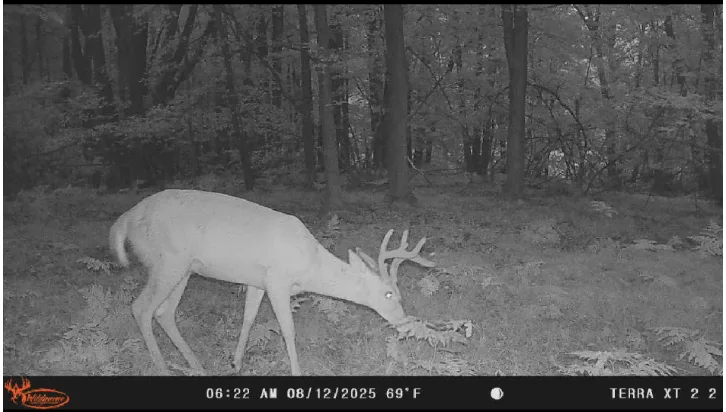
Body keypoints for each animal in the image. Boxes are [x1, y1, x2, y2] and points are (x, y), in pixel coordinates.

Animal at [109, 189, 435, 376]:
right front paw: (297, 372)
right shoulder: (278, 280)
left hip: (184, 269)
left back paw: (197, 366)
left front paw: (236, 363)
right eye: (389, 294)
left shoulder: (258, 281)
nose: (405, 322)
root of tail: (125, 221)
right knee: (141, 308)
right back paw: (163, 368)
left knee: (164, 312)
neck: (310, 266)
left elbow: (248, 318)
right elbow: (288, 330)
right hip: (167, 261)